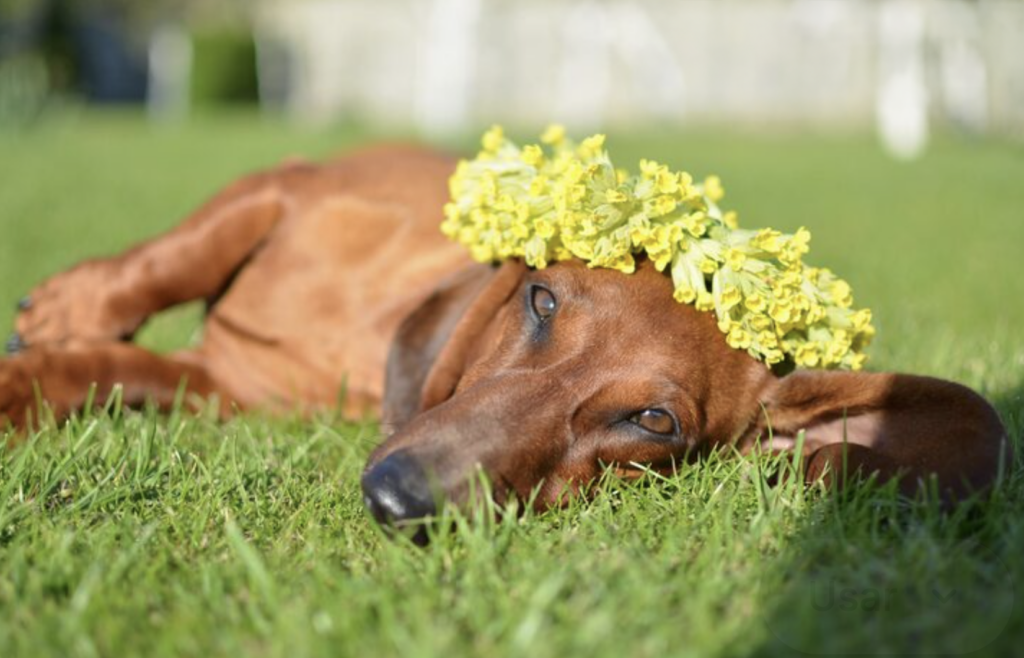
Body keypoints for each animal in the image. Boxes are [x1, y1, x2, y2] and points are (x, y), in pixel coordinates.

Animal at [1, 145, 1009, 533]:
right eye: (542, 300)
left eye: (653, 424)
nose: (401, 498)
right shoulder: (286, 186)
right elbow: (169, 261)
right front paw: (70, 308)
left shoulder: (225, 389)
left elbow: (111, 371)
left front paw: (30, 383)